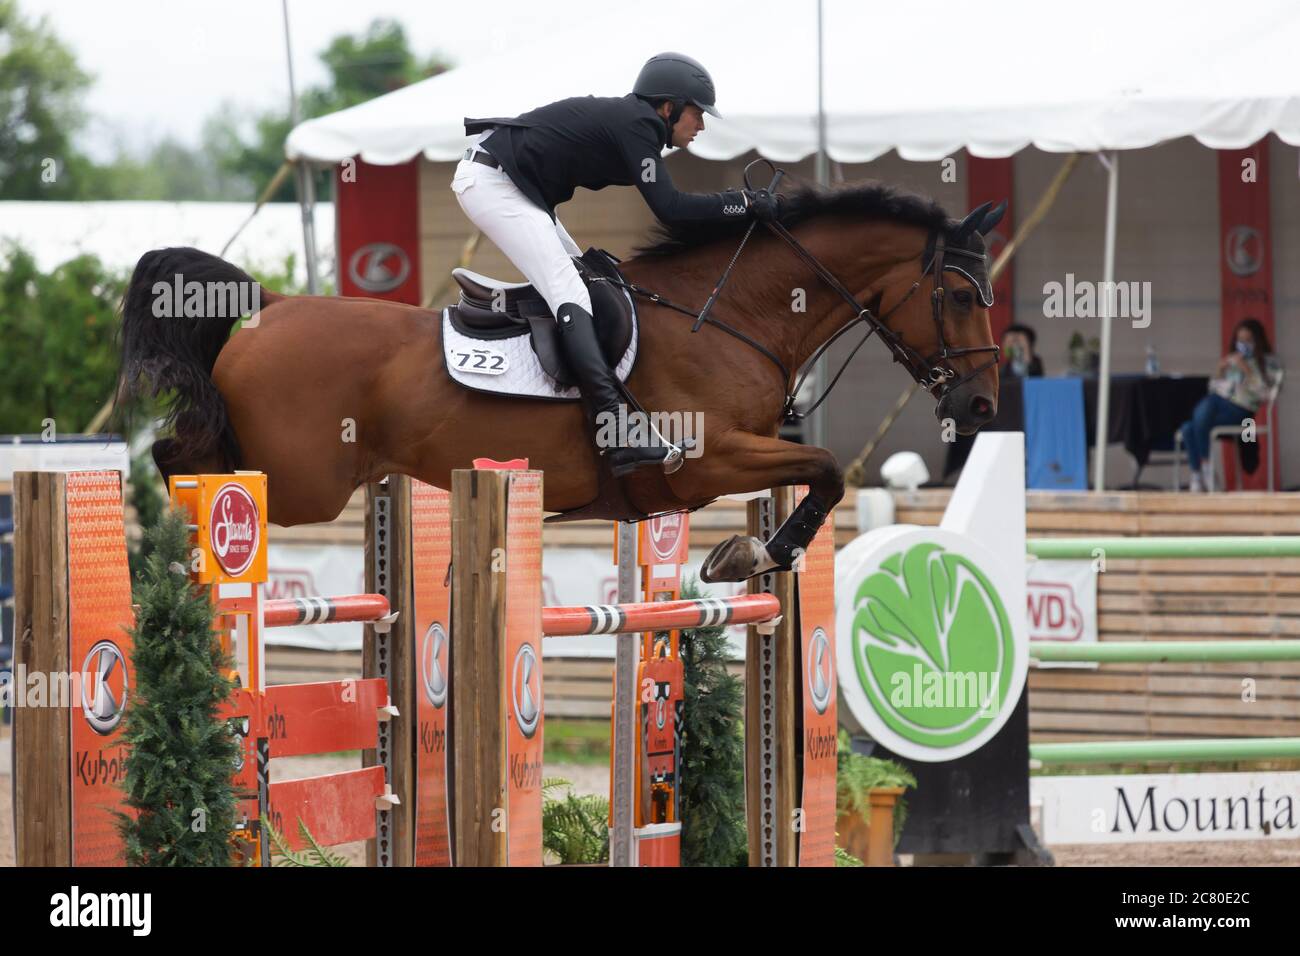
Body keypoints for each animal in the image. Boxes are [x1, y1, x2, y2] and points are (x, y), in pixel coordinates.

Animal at [116, 179, 998, 582]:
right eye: (959, 297)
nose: (981, 403)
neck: (730, 313)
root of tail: (269, 305)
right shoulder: (706, 460)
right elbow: (827, 469)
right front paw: (750, 554)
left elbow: (820, 473)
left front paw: (750, 552)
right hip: (304, 481)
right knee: (182, 458)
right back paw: (170, 553)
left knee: (180, 453)